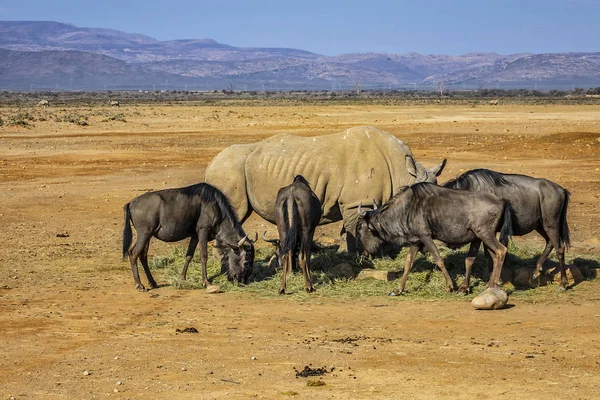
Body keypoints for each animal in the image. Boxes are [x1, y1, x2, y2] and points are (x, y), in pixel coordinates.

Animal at [123, 182, 254, 290]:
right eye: (246, 262)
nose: (242, 282)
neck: (216, 207)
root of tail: (131, 203)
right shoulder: (203, 231)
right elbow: (203, 255)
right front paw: (206, 282)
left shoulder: (195, 236)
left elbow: (189, 256)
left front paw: (182, 278)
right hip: (144, 234)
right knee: (133, 253)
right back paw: (139, 285)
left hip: (148, 236)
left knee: (142, 255)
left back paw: (153, 283)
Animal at [356, 184, 510, 294]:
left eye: (362, 229)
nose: (366, 252)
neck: (407, 209)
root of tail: (501, 201)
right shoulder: (416, 241)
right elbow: (408, 264)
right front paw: (398, 289)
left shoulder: (426, 237)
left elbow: (438, 259)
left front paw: (449, 286)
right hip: (482, 237)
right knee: (491, 257)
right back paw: (487, 286)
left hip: (485, 234)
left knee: (501, 251)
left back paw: (495, 284)